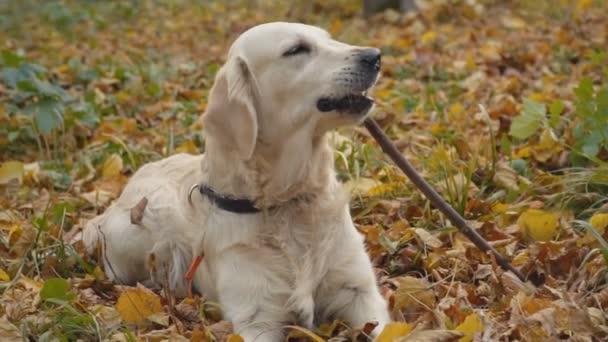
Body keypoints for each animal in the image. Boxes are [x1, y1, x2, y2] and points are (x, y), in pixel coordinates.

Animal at [83, 22, 392, 340]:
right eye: (296, 49)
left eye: (328, 38)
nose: (374, 56)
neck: (287, 201)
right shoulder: (256, 317)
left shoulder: (361, 292)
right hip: (143, 225)